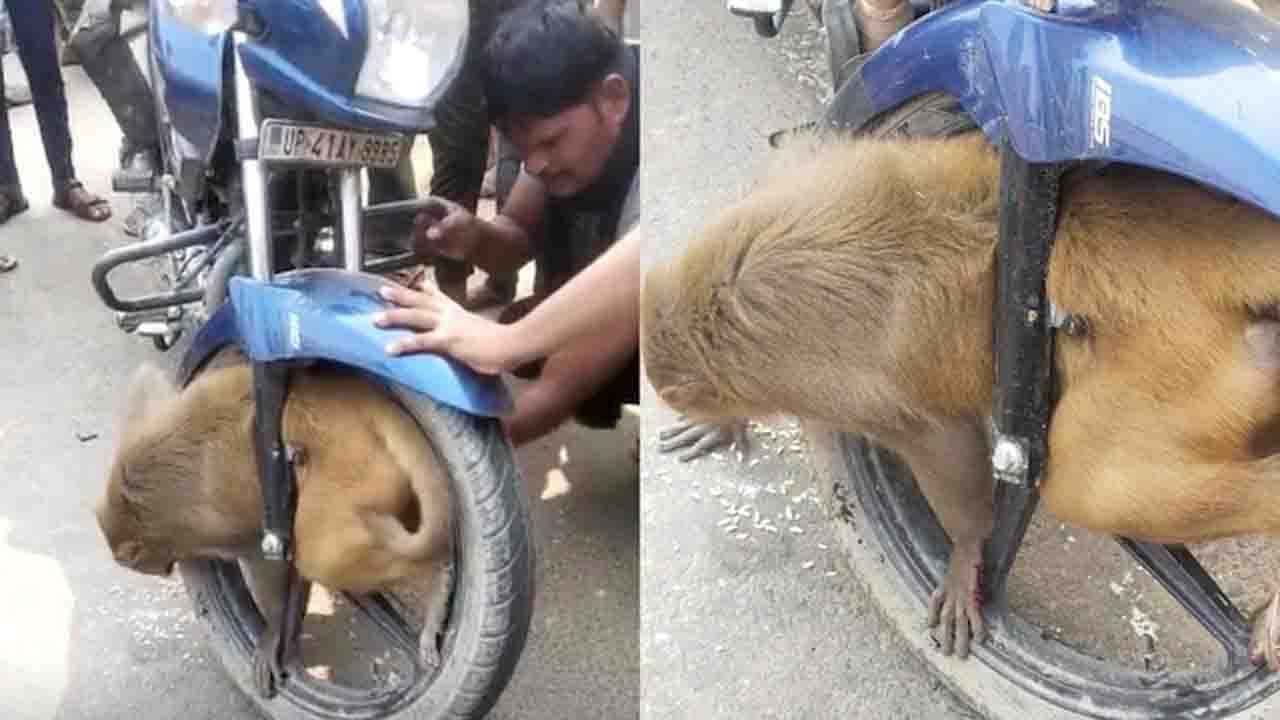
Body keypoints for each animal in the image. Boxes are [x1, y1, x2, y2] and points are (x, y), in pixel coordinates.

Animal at [96, 348, 455, 691]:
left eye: (142, 563)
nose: (164, 570)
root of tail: (363, 402)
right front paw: (289, 636)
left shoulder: (219, 527)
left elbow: (268, 559)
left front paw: (273, 635)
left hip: (355, 469)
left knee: (323, 553)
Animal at [650, 130, 1280, 666]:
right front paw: (725, 424)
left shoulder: (847, 391)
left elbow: (943, 444)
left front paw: (965, 556)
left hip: (1172, 364)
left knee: (1093, 484)